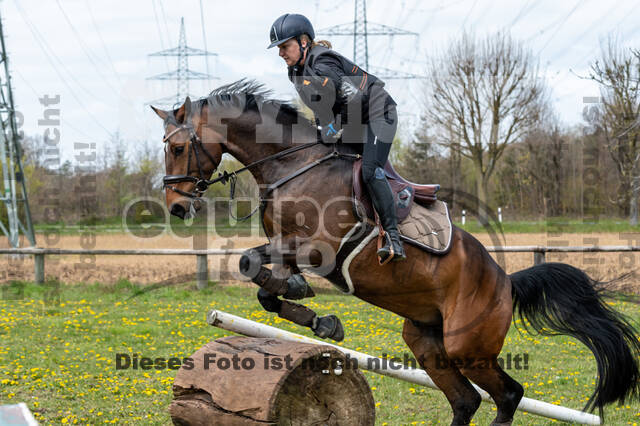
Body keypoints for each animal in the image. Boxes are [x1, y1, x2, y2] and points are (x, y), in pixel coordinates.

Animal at [151, 79, 640, 422]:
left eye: (178, 147)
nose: (176, 206)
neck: (294, 166)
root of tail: (506, 281)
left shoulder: (318, 249)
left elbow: (251, 261)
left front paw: (312, 308)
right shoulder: (287, 248)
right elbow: (262, 283)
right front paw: (318, 317)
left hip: (468, 345)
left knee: (508, 394)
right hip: (426, 340)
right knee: (465, 400)